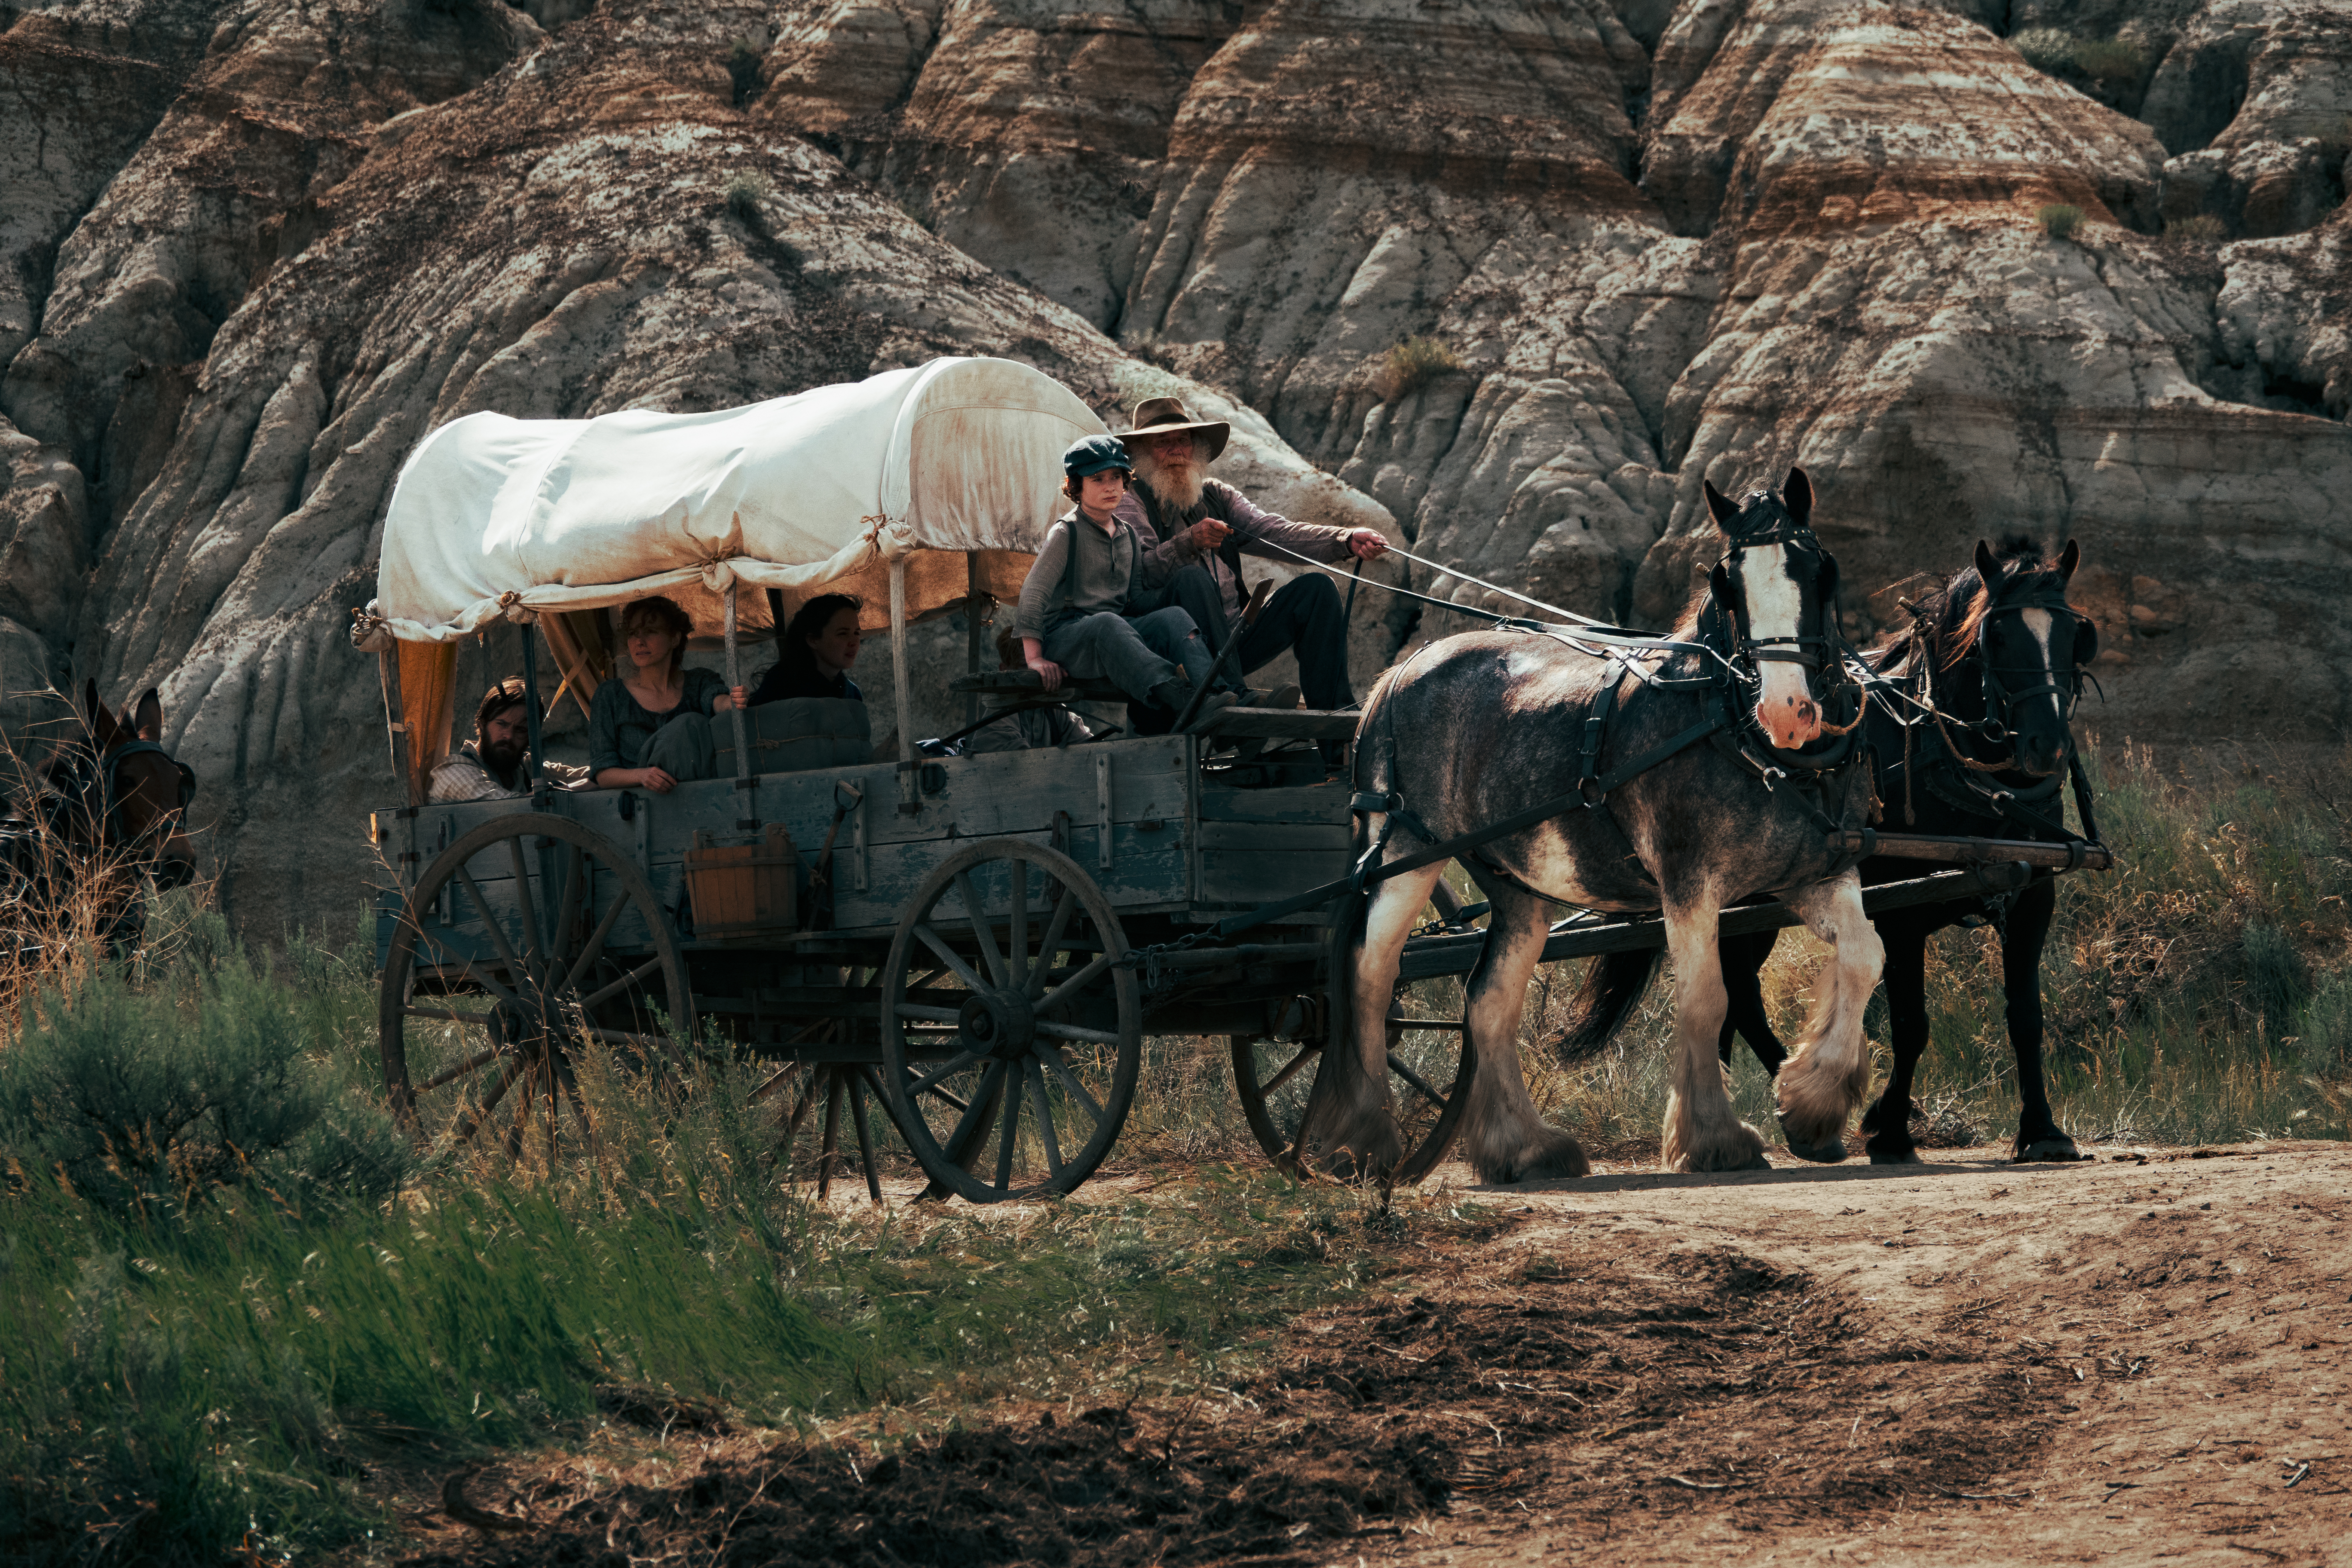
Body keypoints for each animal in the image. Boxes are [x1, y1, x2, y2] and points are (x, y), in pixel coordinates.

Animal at [1298, 472, 1881, 1185]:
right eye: (1725, 581)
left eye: (1820, 570)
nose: (1787, 710)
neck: (1733, 731)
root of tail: (1400, 672)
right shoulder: (1689, 885)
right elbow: (1706, 998)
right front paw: (1714, 1141)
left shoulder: (1817, 874)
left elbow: (1864, 956)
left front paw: (1812, 1105)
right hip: (1407, 852)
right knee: (1371, 977)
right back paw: (1366, 1142)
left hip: (1516, 885)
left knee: (1488, 998)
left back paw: (1524, 1149)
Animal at [1562, 540, 2098, 1166]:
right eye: (2000, 637)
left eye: (2075, 636)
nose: (2047, 747)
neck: (1945, 758)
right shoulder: (1900, 913)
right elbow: (1911, 1022)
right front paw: (1889, 1130)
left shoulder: (2035, 896)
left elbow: (2026, 1017)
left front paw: (2043, 1130)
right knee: (1741, 994)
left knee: (1737, 993)